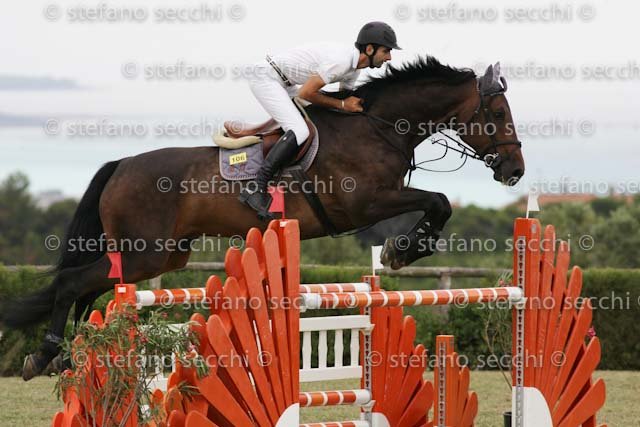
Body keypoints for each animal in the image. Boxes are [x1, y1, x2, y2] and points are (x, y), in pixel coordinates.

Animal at [1, 56, 524, 380]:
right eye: (498, 113)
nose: (515, 171)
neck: (376, 128)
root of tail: (121, 164)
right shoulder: (367, 203)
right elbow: (438, 200)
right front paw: (405, 249)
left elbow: (438, 202)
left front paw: (406, 249)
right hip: (142, 254)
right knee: (72, 283)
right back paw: (44, 355)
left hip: (161, 257)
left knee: (89, 290)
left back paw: (74, 355)